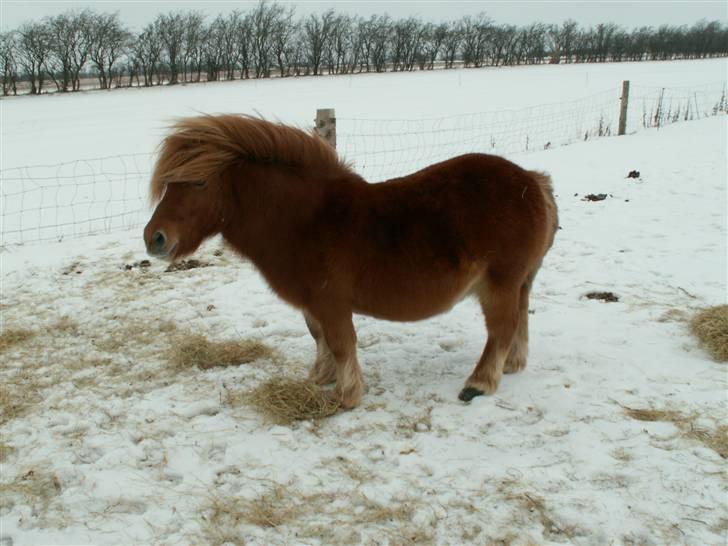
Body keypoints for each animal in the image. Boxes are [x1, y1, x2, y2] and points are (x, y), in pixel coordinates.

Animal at [145, 115, 560, 406]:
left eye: (199, 182)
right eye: (169, 184)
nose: (154, 238)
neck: (303, 220)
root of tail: (531, 180)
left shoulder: (331, 303)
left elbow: (342, 343)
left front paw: (346, 395)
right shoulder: (312, 305)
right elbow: (320, 339)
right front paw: (320, 377)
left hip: (499, 283)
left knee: (501, 329)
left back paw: (479, 384)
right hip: (518, 282)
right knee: (519, 322)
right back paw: (510, 366)